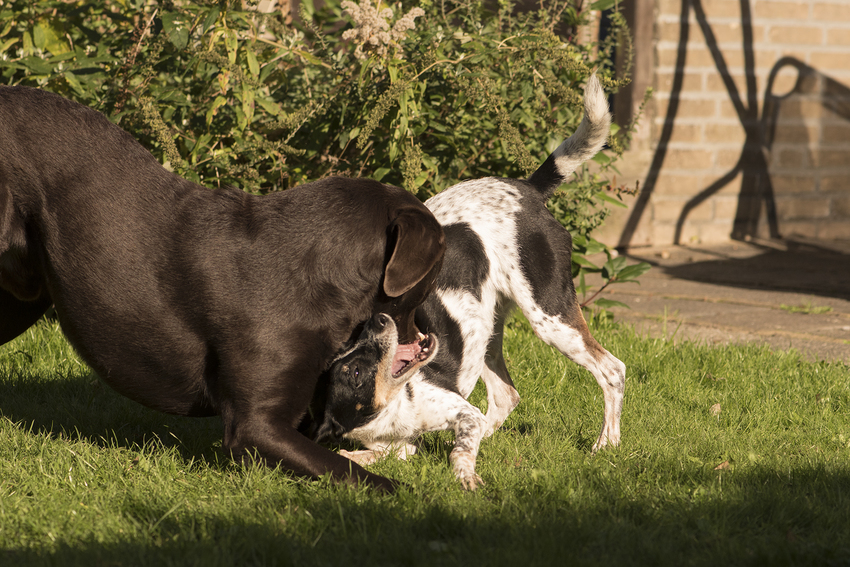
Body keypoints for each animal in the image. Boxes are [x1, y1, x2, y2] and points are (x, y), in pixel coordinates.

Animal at [0, 86, 445, 492]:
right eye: (430, 277)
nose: (416, 334)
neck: (314, 276)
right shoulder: (256, 426)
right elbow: (350, 470)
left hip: (22, 298)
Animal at [312, 75, 625, 489]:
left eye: (357, 369)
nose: (382, 322)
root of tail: (526, 188)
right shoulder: (402, 444)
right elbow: (371, 454)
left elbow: (456, 449)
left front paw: (464, 474)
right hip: (487, 332)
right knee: (506, 396)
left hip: (550, 317)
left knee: (612, 369)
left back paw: (607, 444)